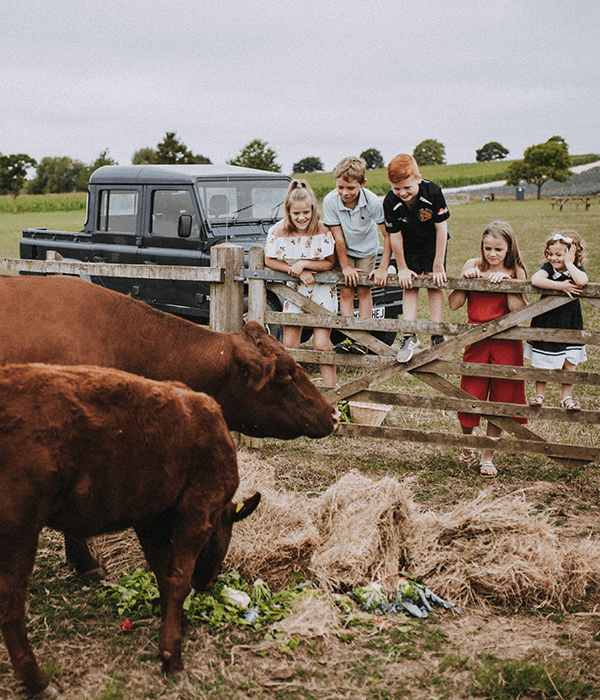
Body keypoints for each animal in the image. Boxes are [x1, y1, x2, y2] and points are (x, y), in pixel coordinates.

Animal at [0, 364, 260, 696]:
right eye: (223, 531)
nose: (210, 582)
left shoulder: (148, 516)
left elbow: (163, 573)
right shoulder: (198, 511)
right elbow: (178, 578)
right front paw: (172, 655)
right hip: (19, 529)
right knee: (10, 606)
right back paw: (37, 681)